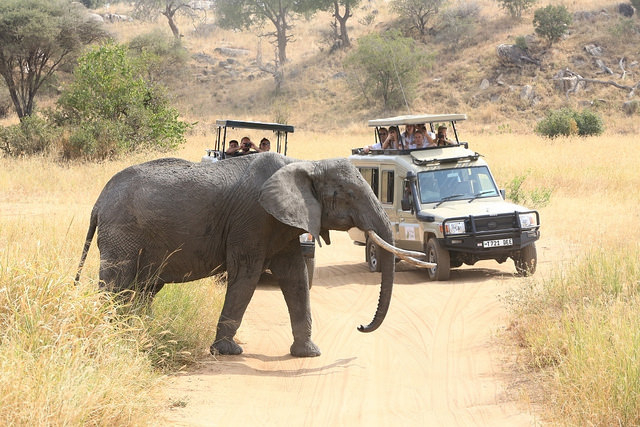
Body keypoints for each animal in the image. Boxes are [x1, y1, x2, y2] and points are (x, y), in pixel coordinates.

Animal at [75, 153, 422, 358]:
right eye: (348, 195)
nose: (361, 327)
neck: (306, 164)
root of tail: (98, 201)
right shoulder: (253, 218)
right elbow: (247, 273)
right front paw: (228, 351)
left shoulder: (283, 225)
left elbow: (296, 277)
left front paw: (308, 353)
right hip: (122, 233)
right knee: (117, 284)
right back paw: (112, 334)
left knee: (141, 289)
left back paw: (136, 333)